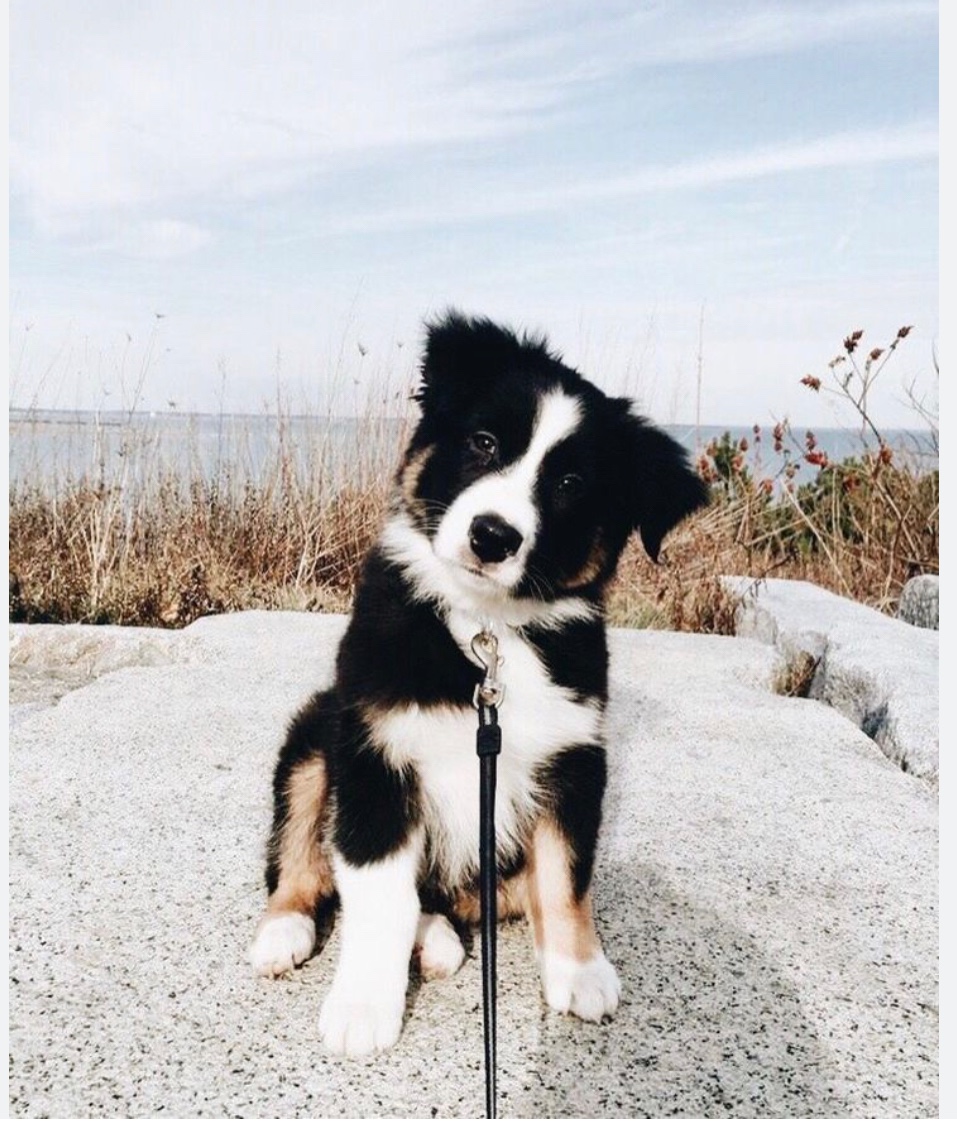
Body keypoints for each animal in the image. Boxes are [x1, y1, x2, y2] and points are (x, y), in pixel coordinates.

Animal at [249, 311, 708, 1056]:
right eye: (484, 442)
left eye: (570, 483)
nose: (493, 535)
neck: (486, 631)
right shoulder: (375, 751)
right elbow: (377, 889)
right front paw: (362, 1005)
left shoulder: (572, 757)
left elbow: (565, 874)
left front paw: (579, 969)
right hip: (316, 732)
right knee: (303, 851)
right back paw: (285, 928)